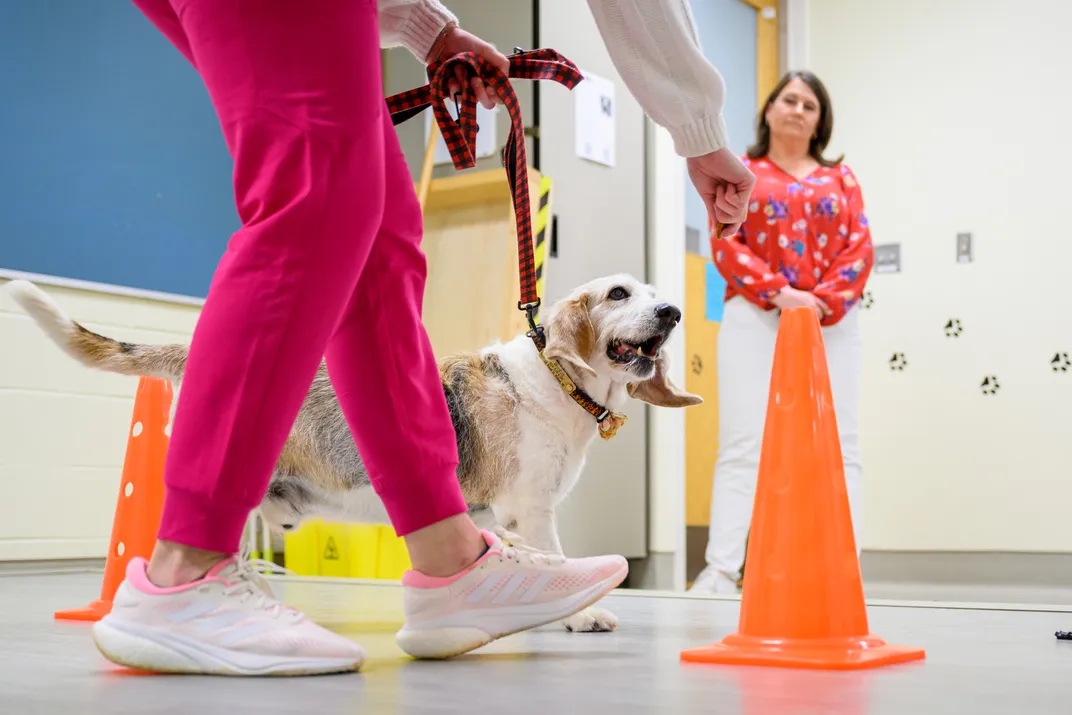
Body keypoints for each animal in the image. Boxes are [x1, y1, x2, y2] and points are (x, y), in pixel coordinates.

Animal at [6, 274, 703, 630]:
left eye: (655, 295)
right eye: (618, 294)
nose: (672, 312)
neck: (553, 380)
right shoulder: (528, 511)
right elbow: (555, 559)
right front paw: (581, 614)